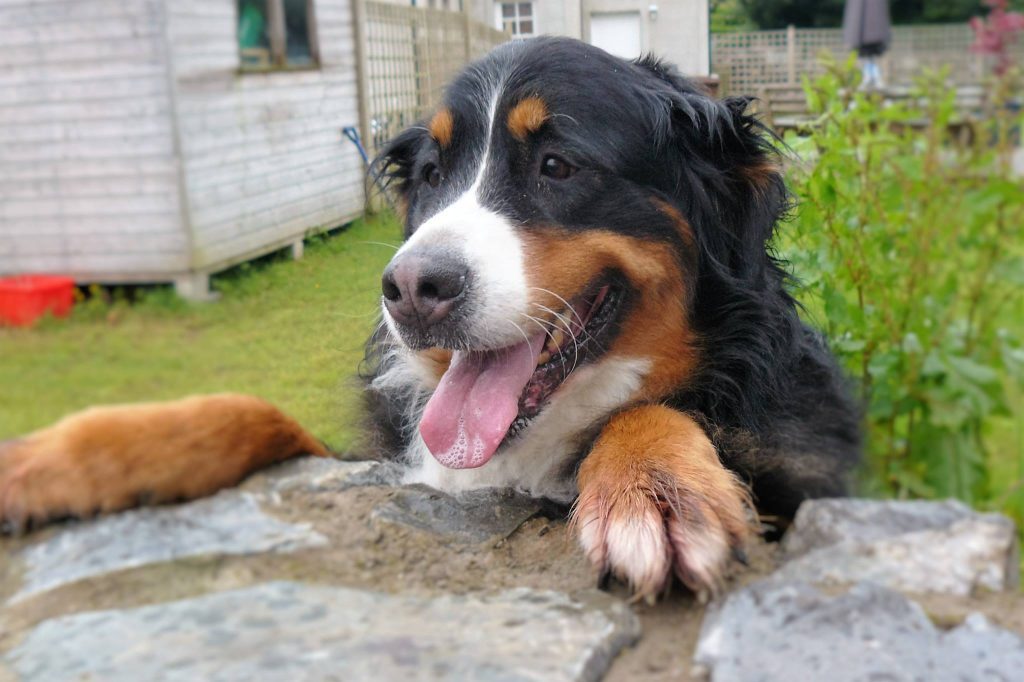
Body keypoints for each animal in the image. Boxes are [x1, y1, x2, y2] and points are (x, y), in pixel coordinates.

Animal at [0, 38, 860, 593]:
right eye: (434, 174)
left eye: (558, 165)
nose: (411, 288)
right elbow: (253, 412)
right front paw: (55, 457)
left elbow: (643, 412)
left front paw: (655, 486)